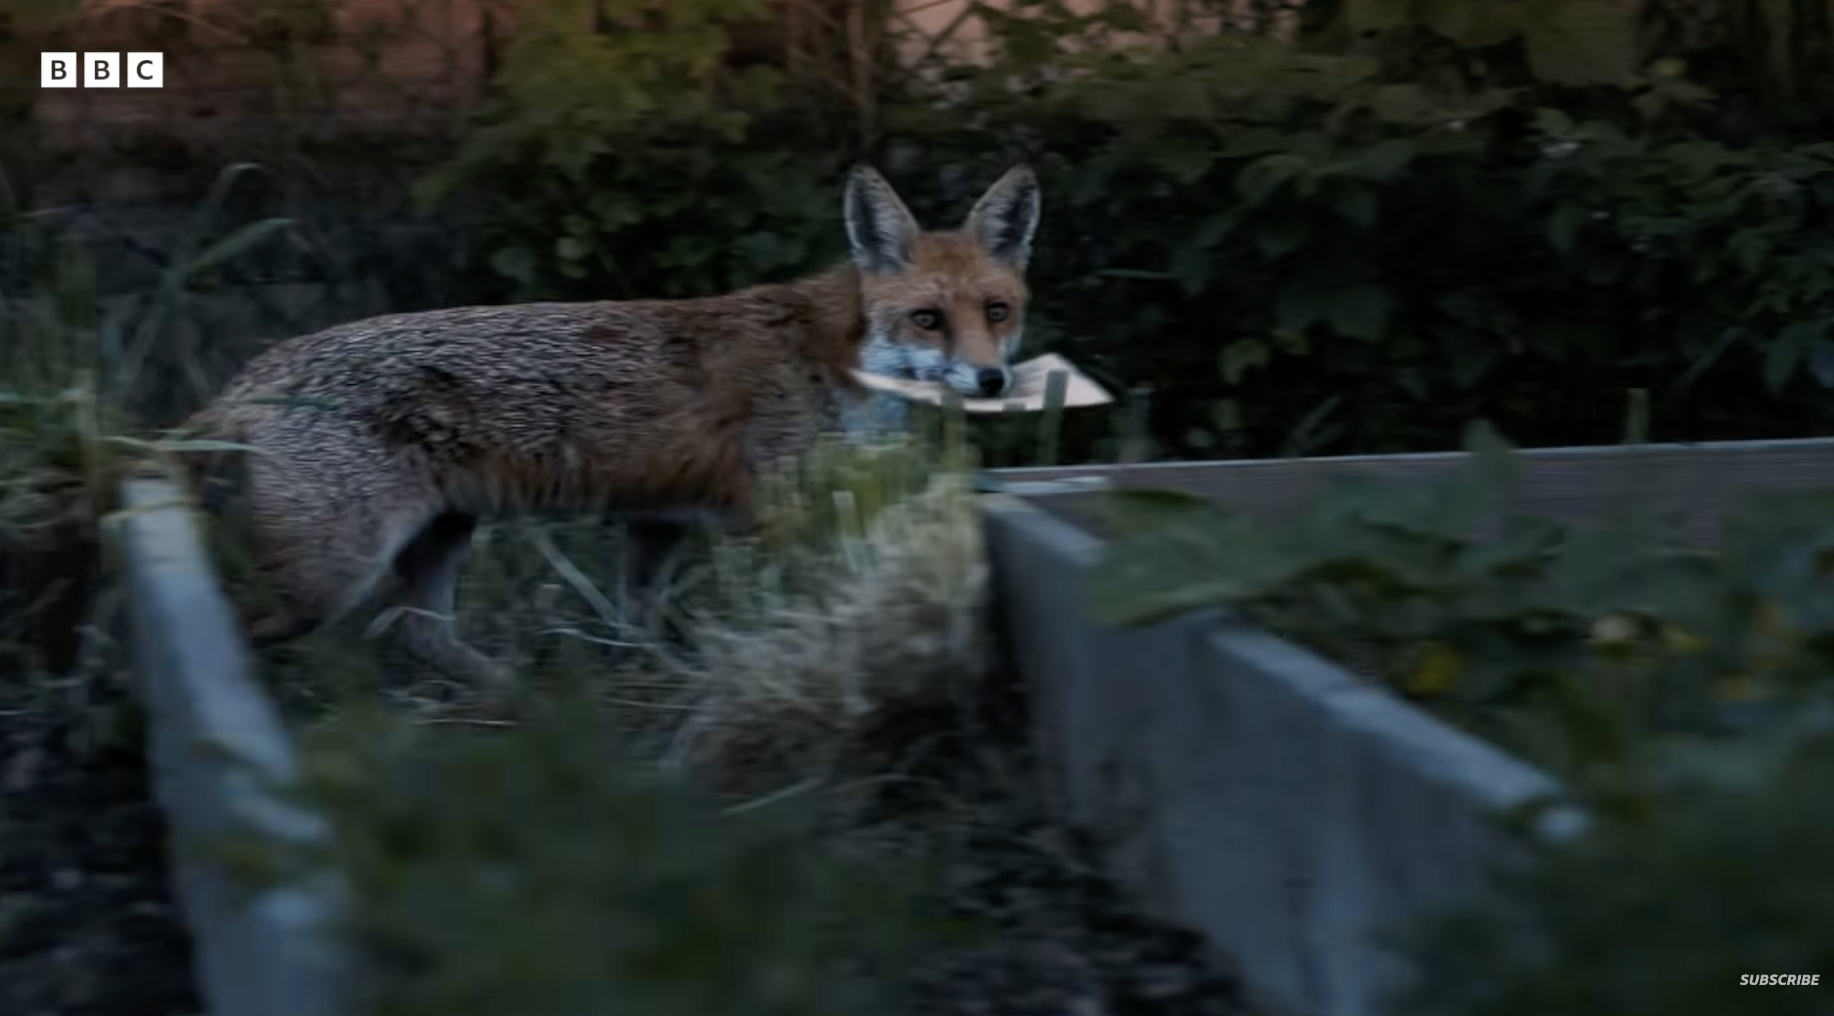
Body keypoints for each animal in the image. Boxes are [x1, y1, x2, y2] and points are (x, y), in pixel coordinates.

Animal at [174, 162, 1043, 687]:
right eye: (929, 319)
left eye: (997, 312)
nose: (992, 380)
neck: (835, 360)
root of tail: (262, 365)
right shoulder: (773, 520)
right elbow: (811, 609)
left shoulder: (658, 524)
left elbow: (639, 631)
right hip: (331, 575)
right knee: (240, 623)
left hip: (443, 535)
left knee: (423, 639)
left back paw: (523, 701)